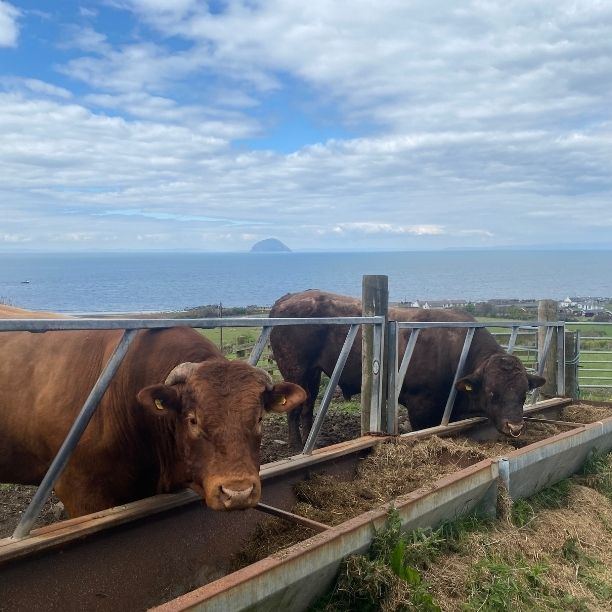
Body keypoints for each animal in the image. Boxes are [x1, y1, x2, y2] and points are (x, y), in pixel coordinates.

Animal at [270, 290, 548, 448]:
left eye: (523, 393)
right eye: (492, 393)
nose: (515, 427)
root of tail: (287, 299)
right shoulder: (420, 407)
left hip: (312, 373)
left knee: (307, 406)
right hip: (295, 369)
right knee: (293, 409)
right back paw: (296, 446)